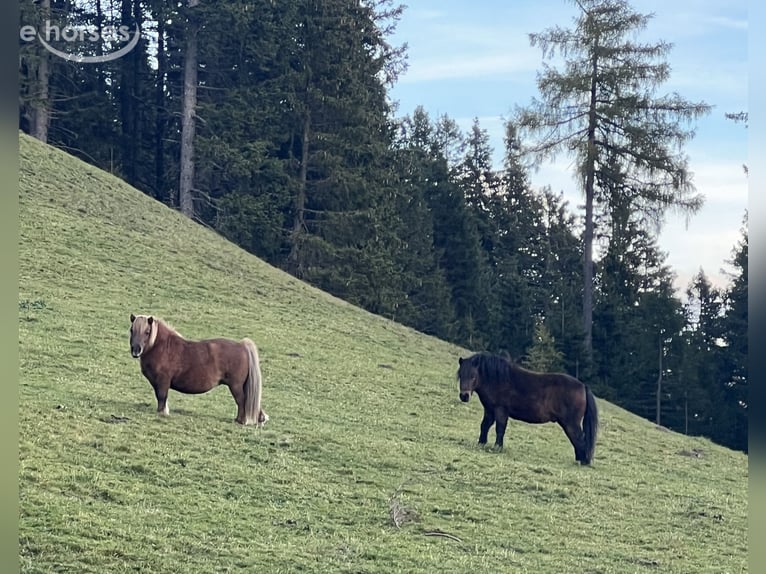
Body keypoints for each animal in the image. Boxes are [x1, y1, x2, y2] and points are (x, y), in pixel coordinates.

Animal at [129, 314, 268, 426]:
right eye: (131, 330)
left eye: (147, 332)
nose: (136, 350)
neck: (162, 347)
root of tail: (242, 345)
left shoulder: (163, 381)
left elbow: (162, 396)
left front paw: (162, 413)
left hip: (236, 386)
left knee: (241, 401)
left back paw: (240, 421)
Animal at [456, 352, 598, 465]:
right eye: (461, 375)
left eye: (473, 376)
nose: (464, 396)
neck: (497, 379)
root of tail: (583, 386)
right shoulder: (490, 410)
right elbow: (484, 426)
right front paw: (481, 443)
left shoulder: (501, 410)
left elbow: (500, 428)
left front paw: (497, 447)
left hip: (571, 423)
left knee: (580, 440)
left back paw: (583, 462)